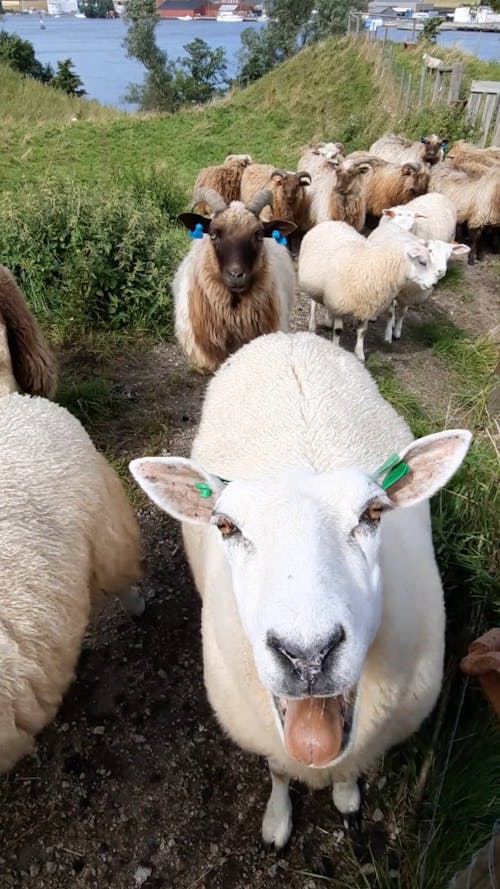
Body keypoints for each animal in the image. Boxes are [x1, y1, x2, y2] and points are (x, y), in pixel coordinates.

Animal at [130, 332, 472, 848]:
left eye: (373, 513)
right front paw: (277, 820)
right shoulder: (265, 736)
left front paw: (347, 797)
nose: (308, 655)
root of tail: (287, 336)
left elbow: (351, 768)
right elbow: (277, 771)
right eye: (226, 526)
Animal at [298, 220, 436, 360]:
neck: (376, 267)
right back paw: (312, 325)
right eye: (422, 262)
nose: (434, 283)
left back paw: (328, 320)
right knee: (314, 304)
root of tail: (331, 222)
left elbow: (363, 331)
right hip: (313, 286)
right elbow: (338, 331)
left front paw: (359, 353)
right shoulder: (339, 303)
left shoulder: (366, 305)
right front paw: (336, 347)